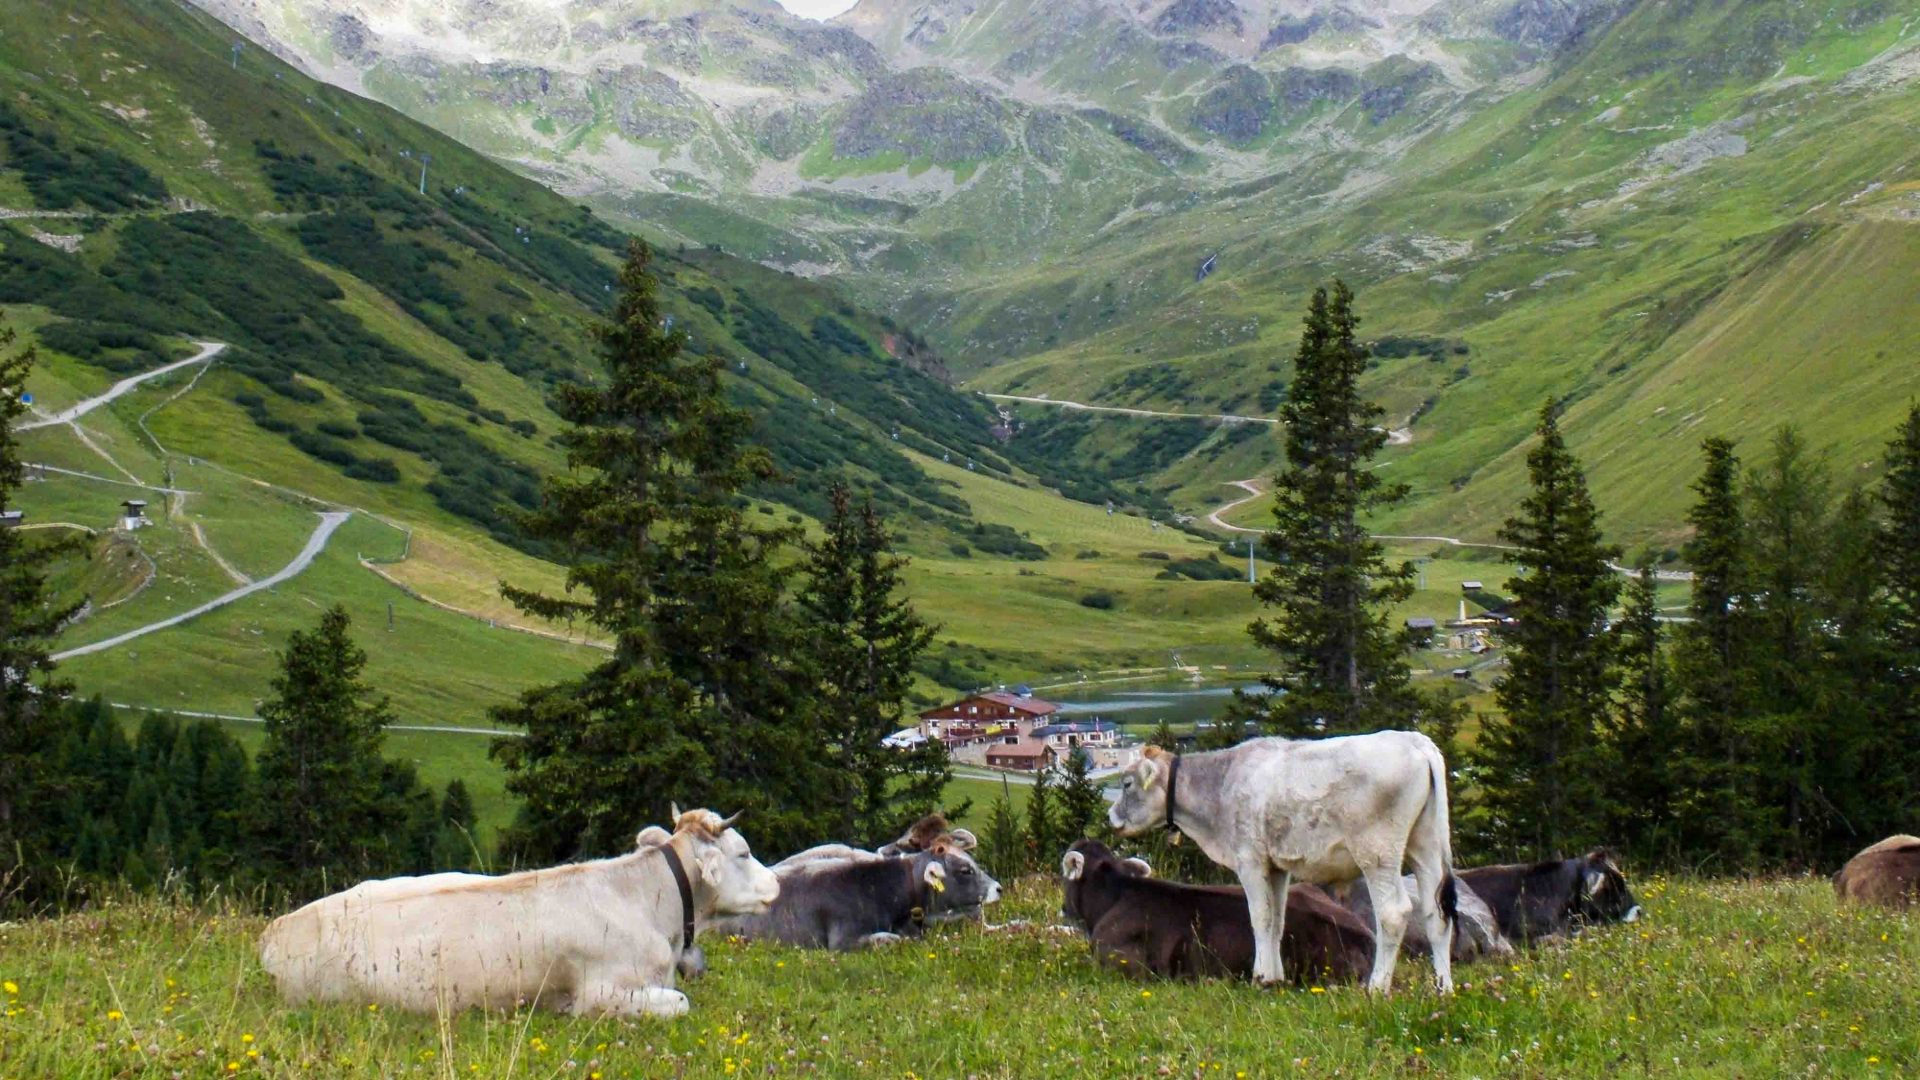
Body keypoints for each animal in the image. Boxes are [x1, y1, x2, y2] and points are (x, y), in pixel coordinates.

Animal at [1113, 730, 1451, 991]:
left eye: (1127, 783)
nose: (1112, 815)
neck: (1221, 786)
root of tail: (1414, 740)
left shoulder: (1249, 859)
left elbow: (1260, 917)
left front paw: (1260, 978)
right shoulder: (1276, 867)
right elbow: (1277, 919)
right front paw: (1275, 977)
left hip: (1378, 851)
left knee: (1393, 913)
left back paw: (1377, 988)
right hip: (1426, 845)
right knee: (1436, 914)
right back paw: (1443, 989)